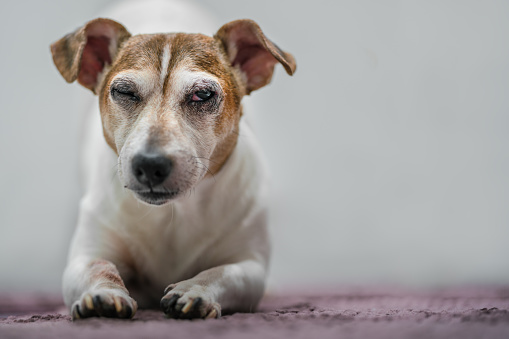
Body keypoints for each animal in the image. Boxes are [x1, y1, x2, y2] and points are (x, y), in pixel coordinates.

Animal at [49, 2, 296, 322]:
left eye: (202, 94)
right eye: (124, 91)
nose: (150, 165)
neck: (172, 214)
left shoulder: (249, 266)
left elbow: (222, 273)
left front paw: (194, 290)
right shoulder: (86, 255)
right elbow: (99, 267)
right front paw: (103, 295)